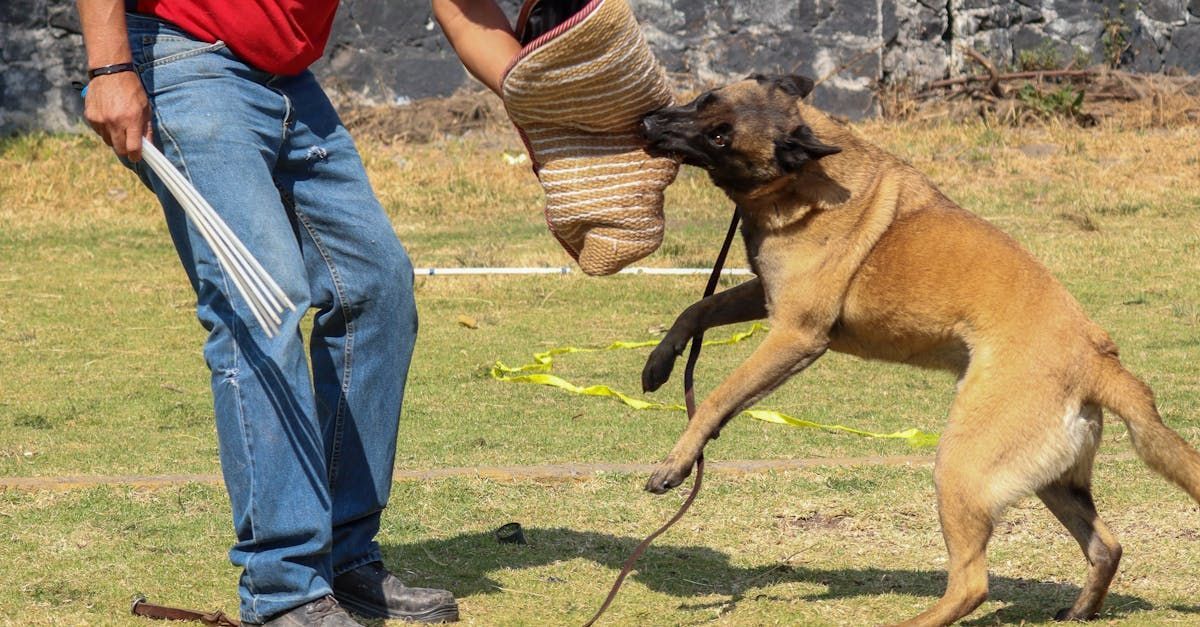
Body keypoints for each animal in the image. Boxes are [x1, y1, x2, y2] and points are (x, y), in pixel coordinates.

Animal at [638, 74, 1200, 624]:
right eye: (704, 99)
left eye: (720, 137)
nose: (648, 123)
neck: (804, 181)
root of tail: (1097, 359)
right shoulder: (766, 295)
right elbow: (697, 308)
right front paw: (660, 361)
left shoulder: (796, 333)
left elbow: (718, 396)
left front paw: (677, 461)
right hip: (1053, 480)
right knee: (1107, 546)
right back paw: (1081, 610)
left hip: (960, 467)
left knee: (973, 583)